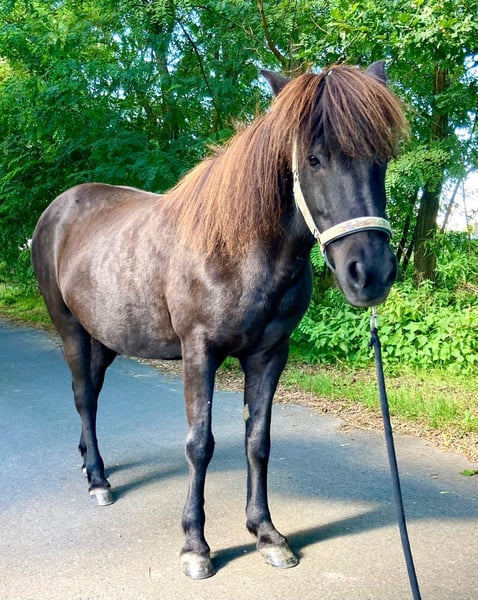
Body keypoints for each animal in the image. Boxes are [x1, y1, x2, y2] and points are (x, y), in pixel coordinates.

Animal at [31, 61, 408, 579]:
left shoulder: (269, 355)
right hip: (70, 329)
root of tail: (57, 210)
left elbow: (258, 441)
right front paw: (196, 545)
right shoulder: (199, 352)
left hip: (103, 337)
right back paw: (99, 481)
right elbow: (199, 444)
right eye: (314, 159)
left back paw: (91, 464)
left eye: (382, 160)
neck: (238, 249)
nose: (370, 273)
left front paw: (266, 534)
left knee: (89, 391)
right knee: (85, 397)